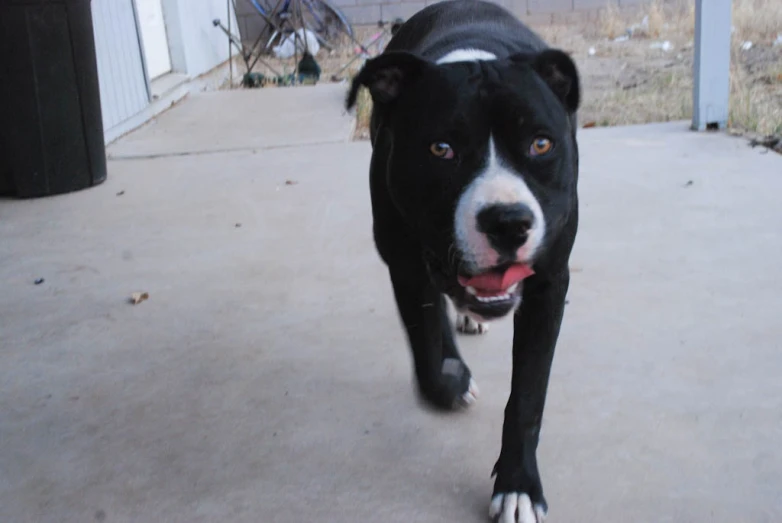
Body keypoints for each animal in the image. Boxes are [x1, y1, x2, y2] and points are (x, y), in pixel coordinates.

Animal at [346, 2, 580, 520]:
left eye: (541, 144)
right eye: (441, 149)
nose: (508, 222)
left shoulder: (550, 283)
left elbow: (528, 396)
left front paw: (518, 486)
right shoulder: (404, 262)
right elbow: (426, 343)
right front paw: (450, 381)